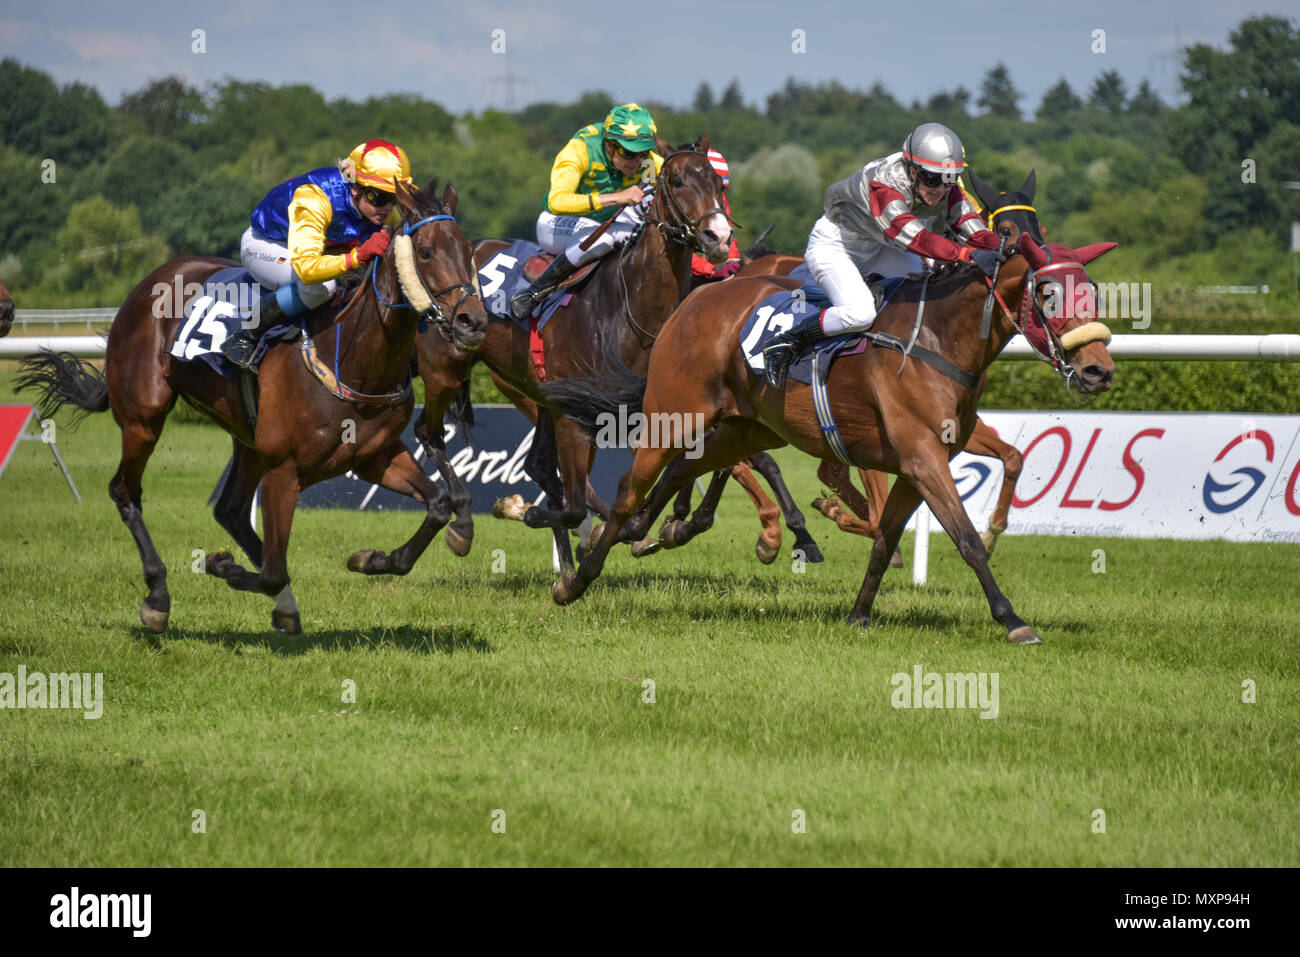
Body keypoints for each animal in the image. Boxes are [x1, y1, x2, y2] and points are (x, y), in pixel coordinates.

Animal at [19, 178, 488, 634]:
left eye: (468, 251)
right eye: (425, 252)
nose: (474, 323)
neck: (351, 358)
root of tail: (147, 283)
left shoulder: (375, 456)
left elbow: (438, 505)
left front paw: (372, 558)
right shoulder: (284, 470)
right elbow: (273, 571)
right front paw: (220, 564)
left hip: (246, 439)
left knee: (230, 511)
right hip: (144, 417)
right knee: (126, 491)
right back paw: (157, 597)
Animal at [543, 234, 1112, 642]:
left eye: (1095, 293)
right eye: (1048, 294)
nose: (1098, 370)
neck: (935, 340)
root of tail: (696, 297)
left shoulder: (915, 465)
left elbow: (884, 539)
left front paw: (859, 614)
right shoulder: (923, 458)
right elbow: (966, 539)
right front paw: (1011, 618)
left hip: (746, 428)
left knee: (684, 471)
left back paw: (650, 531)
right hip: (675, 414)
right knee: (628, 490)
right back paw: (577, 577)